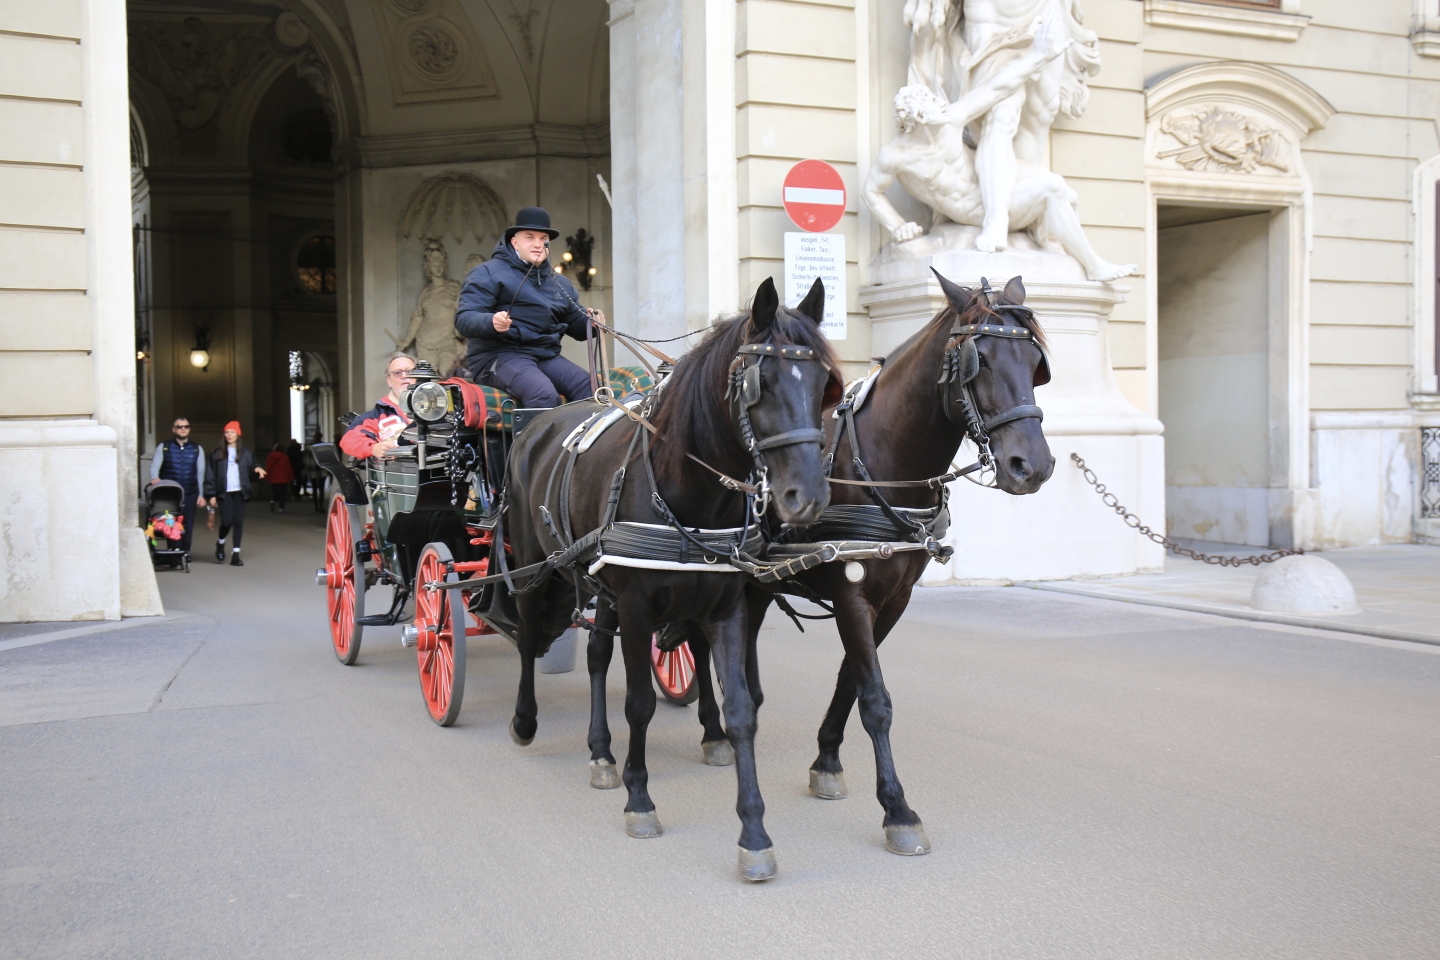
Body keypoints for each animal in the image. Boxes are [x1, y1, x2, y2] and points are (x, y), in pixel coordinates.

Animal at [506, 276, 840, 880]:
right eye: (759, 382)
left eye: (825, 383)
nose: (807, 496)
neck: (688, 489)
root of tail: (537, 423)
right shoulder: (639, 609)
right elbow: (639, 703)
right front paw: (640, 800)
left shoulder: (726, 607)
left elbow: (740, 710)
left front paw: (754, 833)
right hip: (533, 567)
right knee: (526, 636)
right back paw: (525, 721)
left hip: (600, 583)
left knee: (596, 655)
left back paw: (600, 751)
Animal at [668, 269, 1054, 857]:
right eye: (980, 360)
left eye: (1036, 365)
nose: (1032, 465)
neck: (879, 461)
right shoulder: (851, 591)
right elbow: (875, 698)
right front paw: (897, 808)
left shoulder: (893, 599)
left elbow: (851, 680)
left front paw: (826, 760)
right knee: (693, 638)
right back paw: (715, 731)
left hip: (755, 582)